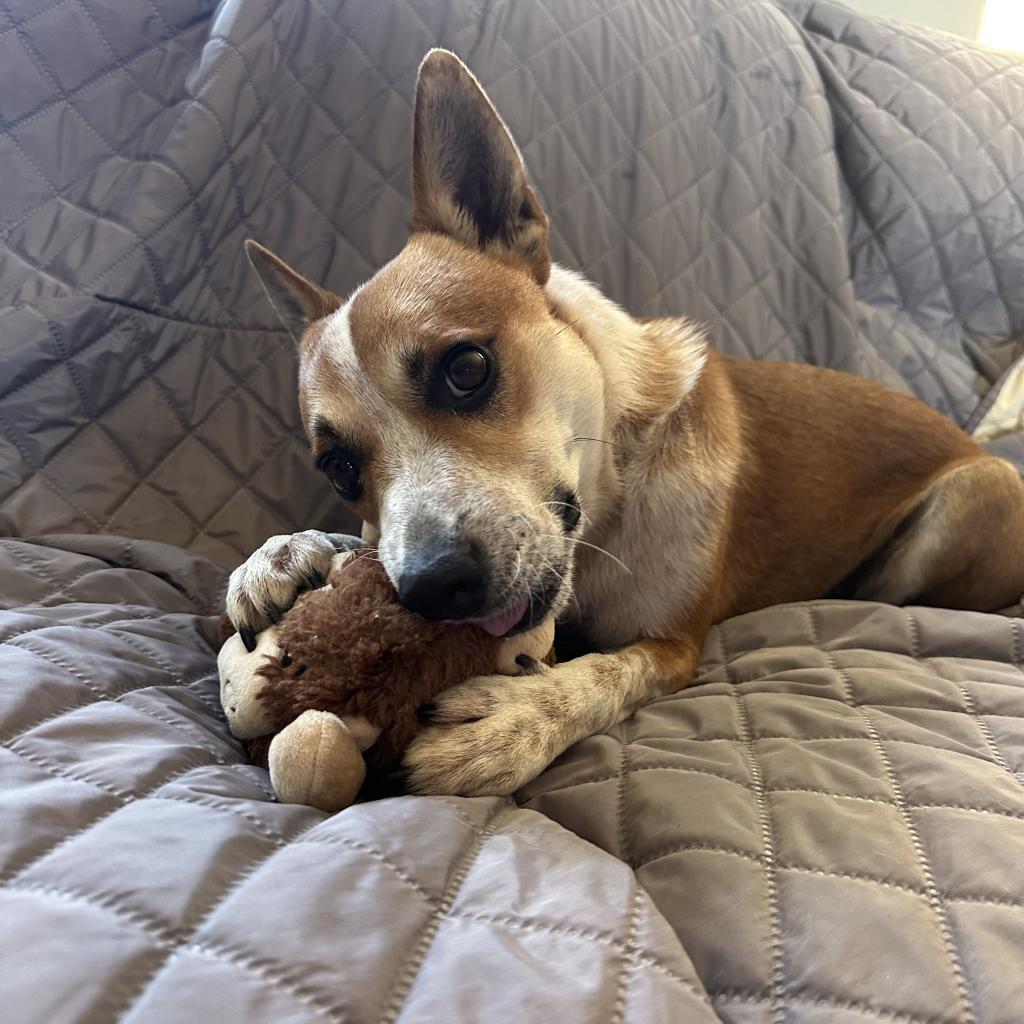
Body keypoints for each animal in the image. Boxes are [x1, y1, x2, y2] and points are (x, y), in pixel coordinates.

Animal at [224, 46, 1024, 798]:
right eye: (340, 469)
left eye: (467, 368)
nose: (431, 589)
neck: (609, 509)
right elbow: (361, 543)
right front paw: (283, 554)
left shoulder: (674, 644)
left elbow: (603, 674)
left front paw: (511, 720)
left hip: (970, 497)